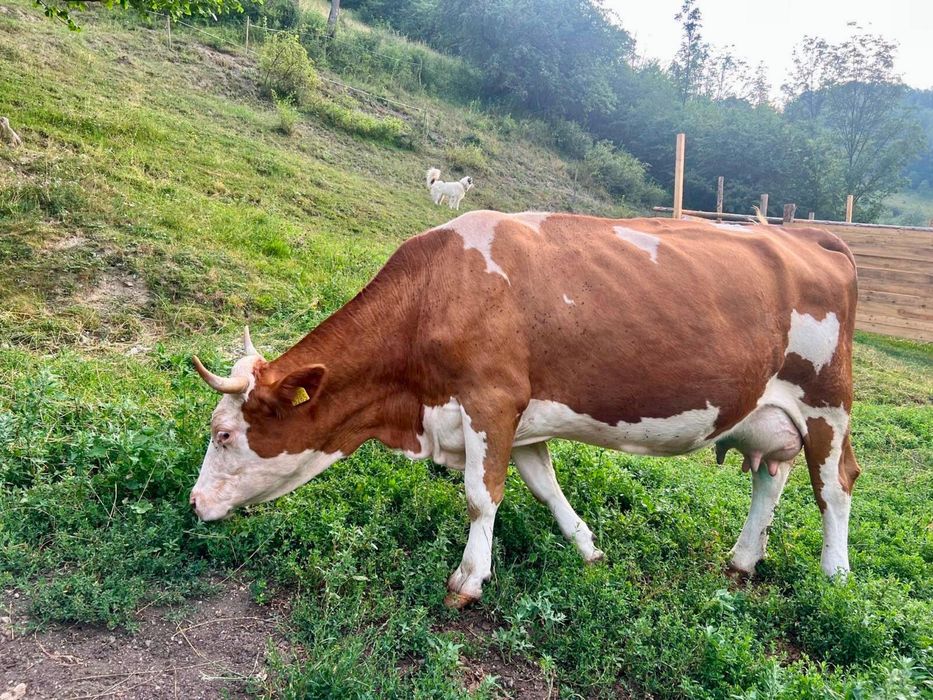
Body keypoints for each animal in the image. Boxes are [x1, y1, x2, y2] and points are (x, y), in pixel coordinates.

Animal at [189, 211, 860, 608]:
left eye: (223, 434)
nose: (194, 503)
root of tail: (807, 234)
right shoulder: (521, 417)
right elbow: (542, 484)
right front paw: (588, 547)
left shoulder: (490, 400)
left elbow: (481, 495)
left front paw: (468, 580)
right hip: (770, 412)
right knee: (772, 475)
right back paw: (743, 561)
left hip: (827, 402)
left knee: (835, 486)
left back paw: (835, 579)